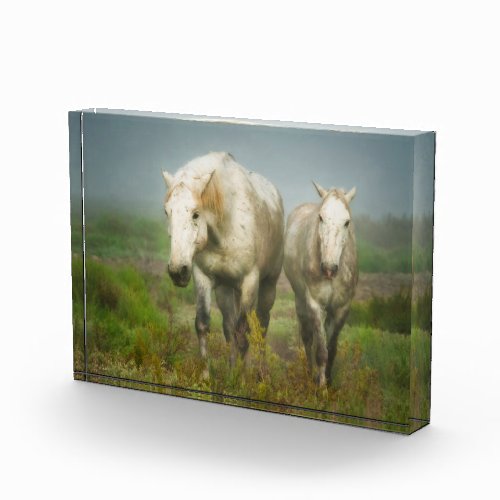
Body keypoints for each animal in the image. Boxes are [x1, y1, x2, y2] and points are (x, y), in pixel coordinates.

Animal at [162, 151, 284, 376]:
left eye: (195, 213)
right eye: (167, 212)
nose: (177, 271)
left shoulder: (249, 282)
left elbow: (244, 332)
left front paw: (242, 379)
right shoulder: (202, 277)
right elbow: (203, 324)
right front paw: (206, 376)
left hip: (268, 285)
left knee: (262, 326)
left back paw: (261, 373)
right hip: (226, 290)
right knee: (229, 327)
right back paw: (232, 368)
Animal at [284, 184, 358, 386]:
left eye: (347, 222)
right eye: (321, 217)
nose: (329, 269)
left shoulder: (342, 308)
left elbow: (331, 349)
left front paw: (329, 382)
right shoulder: (315, 304)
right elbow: (321, 351)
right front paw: (321, 387)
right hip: (300, 300)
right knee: (307, 337)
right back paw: (310, 374)